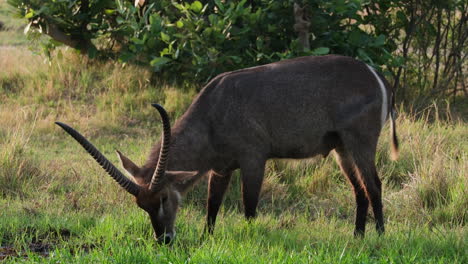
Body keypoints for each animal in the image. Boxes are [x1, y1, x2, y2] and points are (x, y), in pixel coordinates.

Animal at [55, 54, 398, 244]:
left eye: (163, 198)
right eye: (142, 206)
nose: (164, 240)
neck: (213, 113)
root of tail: (375, 74)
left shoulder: (253, 160)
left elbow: (249, 206)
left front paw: (249, 237)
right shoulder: (220, 168)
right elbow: (212, 206)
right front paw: (206, 238)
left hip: (360, 142)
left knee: (374, 185)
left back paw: (380, 235)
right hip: (342, 149)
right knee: (359, 190)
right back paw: (357, 237)